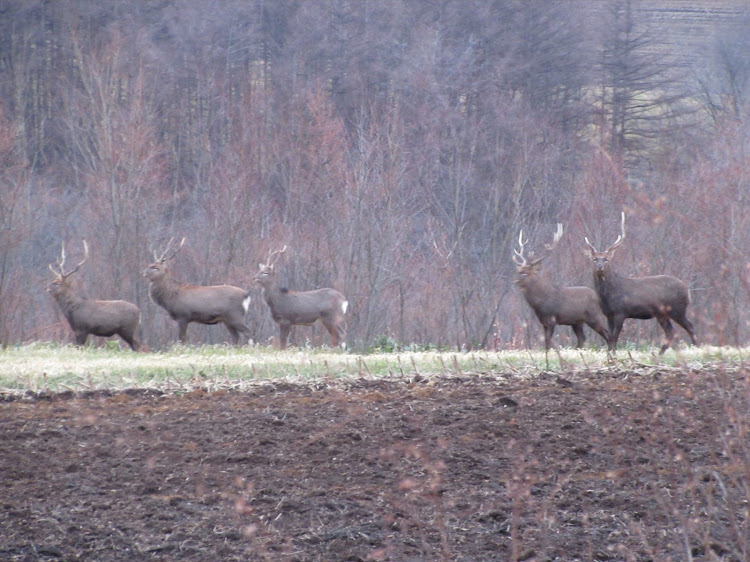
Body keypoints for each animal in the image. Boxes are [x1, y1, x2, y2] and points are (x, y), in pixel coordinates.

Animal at [584, 212, 704, 352]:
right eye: (594, 259)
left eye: (606, 259)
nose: (600, 267)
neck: (609, 295)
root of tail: (687, 290)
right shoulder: (609, 314)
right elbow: (610, 338)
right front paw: (609, 354)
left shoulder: (621, 312)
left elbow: (614, 337)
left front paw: (613, 354)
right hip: (662, 313)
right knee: (670, 332)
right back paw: (659, 353)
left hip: (677, 309)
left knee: (689, 326)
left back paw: (697, 349)